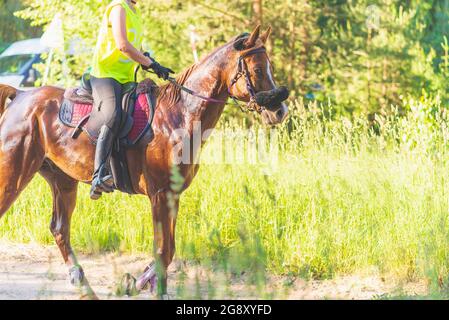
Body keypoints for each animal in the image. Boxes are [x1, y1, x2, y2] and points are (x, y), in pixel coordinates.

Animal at [0, 25, 288, 300]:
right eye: (258, 69)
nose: (279, 112)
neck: (179, 115)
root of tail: (20, 95)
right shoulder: (159, 194)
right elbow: (162, 250)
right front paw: (140, 285)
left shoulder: (173, 195)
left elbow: (169, 250)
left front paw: (141, 284)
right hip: (14, 173)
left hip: (62, 180)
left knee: (60, 230)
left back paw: (85, 288)